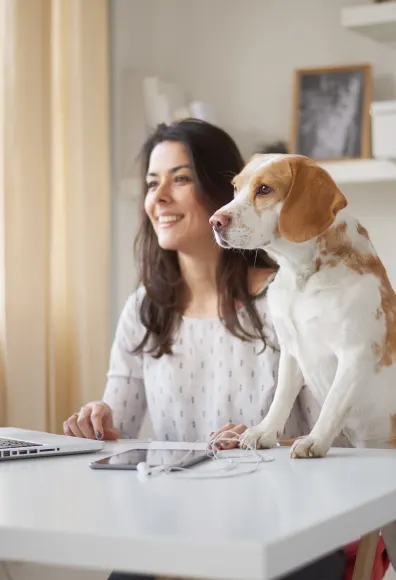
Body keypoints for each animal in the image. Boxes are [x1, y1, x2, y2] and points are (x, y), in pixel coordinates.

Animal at [210, 153, 396, 458]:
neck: (302, 279)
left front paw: (314, 440)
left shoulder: (356, 353)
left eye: (265, 189)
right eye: (235, 187)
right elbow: (281, 398)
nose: (214, 221)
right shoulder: (291, 350)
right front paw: (264, 432)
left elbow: (332, 404)